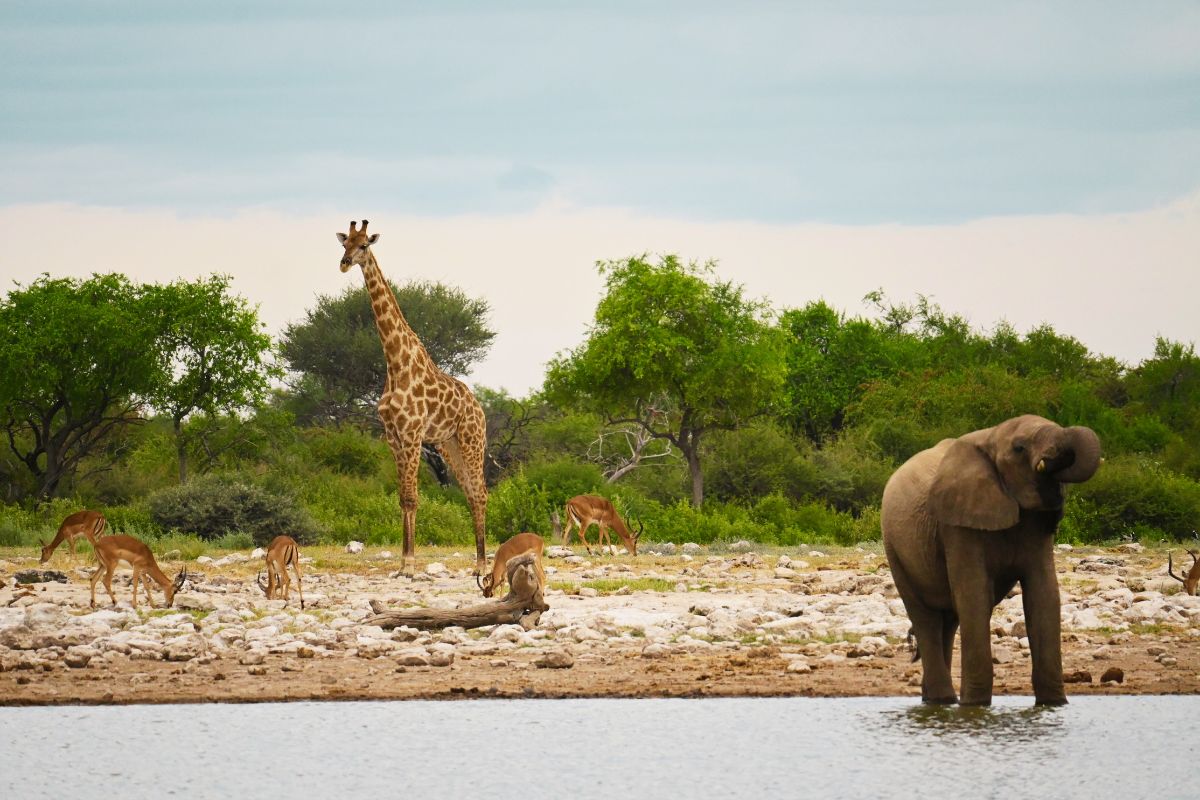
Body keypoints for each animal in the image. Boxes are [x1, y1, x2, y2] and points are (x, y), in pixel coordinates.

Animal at [336, 221, 489, 578]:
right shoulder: (393, 435)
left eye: (364, 245)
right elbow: (403, 497)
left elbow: (412, 497)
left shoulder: (412, 433)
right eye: (344, 243)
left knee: (481, 493)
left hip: (472, 440)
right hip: (450, 445)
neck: (395, 363)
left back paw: (483, 564)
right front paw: (404, 562)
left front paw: (408, 565)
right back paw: (477, 562)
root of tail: (480, 409)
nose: (345, 263)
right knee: (471, 493)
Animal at [878, 417, 1099, 705]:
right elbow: (974, 596)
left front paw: (1054, 704)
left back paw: (938, 702)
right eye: (1019, 448)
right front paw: (975, 706)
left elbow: (1044, 595)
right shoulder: (957, 524)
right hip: (895, 548)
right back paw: (943, 699)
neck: (992, 436)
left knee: (948, 620)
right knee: (925, 617)